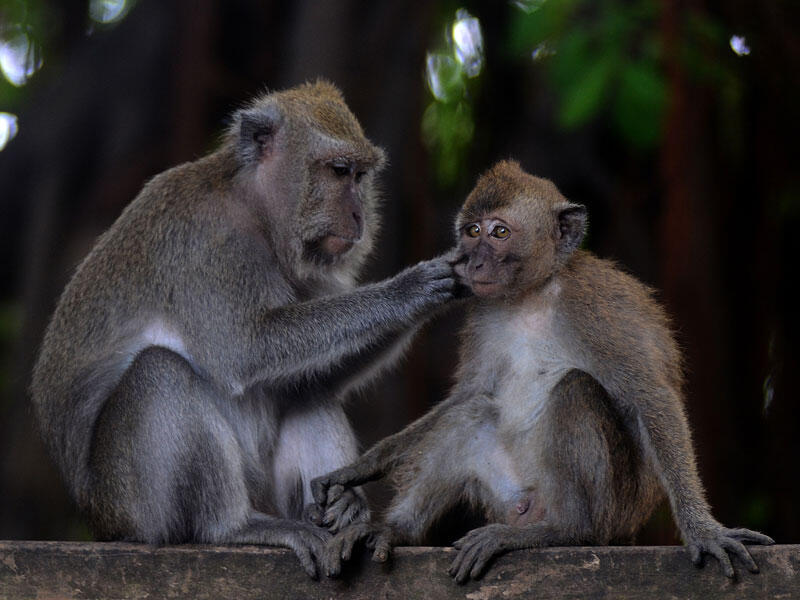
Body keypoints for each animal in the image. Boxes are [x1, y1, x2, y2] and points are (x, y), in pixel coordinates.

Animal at [31, 79, 460, 576]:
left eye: (360, 176)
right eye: (339, 171)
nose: (359, 216)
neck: (254, 208)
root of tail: (101, 520)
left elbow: (317, 372)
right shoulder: (209, 243)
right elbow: (244, 350)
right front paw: (408, 291)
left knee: (306, 391)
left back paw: (338, 512)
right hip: (131, 505)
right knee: (160, 372)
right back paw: (233, 527)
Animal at [314, 159, 776, 580]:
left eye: (499, 232)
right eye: (473, 231)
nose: (472, 262)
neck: (532, 294)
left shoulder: (593, 306)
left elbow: (649, 396)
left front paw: (704, 531)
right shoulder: (483, 312)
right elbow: (469, 394)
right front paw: (360, 468)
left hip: (613, 509)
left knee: (576, 389)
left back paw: (567, 531)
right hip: (507, 492)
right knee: (471, 413)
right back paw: (392, 530)